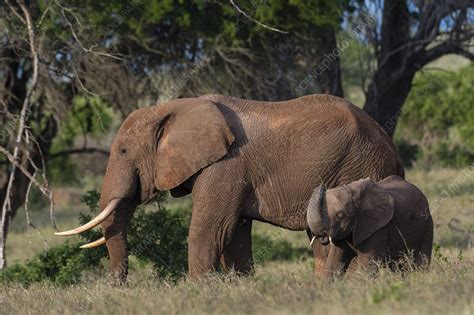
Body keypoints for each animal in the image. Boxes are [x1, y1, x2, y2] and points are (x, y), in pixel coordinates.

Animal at [55, 94, 404, 282]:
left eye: (124, 151)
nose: (119, 287)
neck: (174, 108)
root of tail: (391, 143)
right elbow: (234, 233)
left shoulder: (225, 165)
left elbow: (210, 229)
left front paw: (196, 292)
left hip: (364, 166)